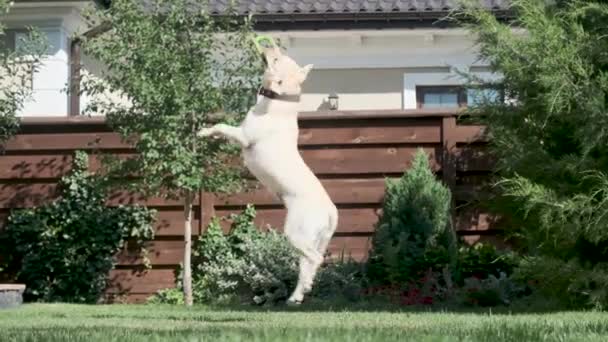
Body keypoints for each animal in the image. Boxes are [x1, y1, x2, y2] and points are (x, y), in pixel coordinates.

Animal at [198, 44, 338, 304]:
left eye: (277, 58)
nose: (271, 45)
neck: (278, 100)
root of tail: (330, 211)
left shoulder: (243, 135)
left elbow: (222, 126)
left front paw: (204, 131)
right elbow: (221, 129)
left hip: (296, 232)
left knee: (315, 259)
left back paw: (301, 291)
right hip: (313, 238)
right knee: (306, 265)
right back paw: (297, 295)